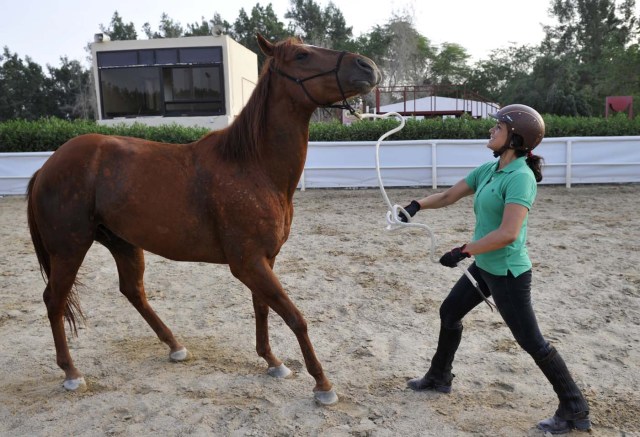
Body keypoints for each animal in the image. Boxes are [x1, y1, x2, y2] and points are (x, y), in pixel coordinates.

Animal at [27, 35, 380, 406]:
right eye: (301, 55)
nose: (367, 66)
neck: (253, 166)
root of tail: (47, 166)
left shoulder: (263, 260)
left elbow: (263, 309)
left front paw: (272, 361)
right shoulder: (248, 263)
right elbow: (295, 317)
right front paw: (322, 384)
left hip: (122, 243)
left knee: (133, 291)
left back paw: (175, 346)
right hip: (69, 249)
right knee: (54, 299)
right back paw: (71, 372)